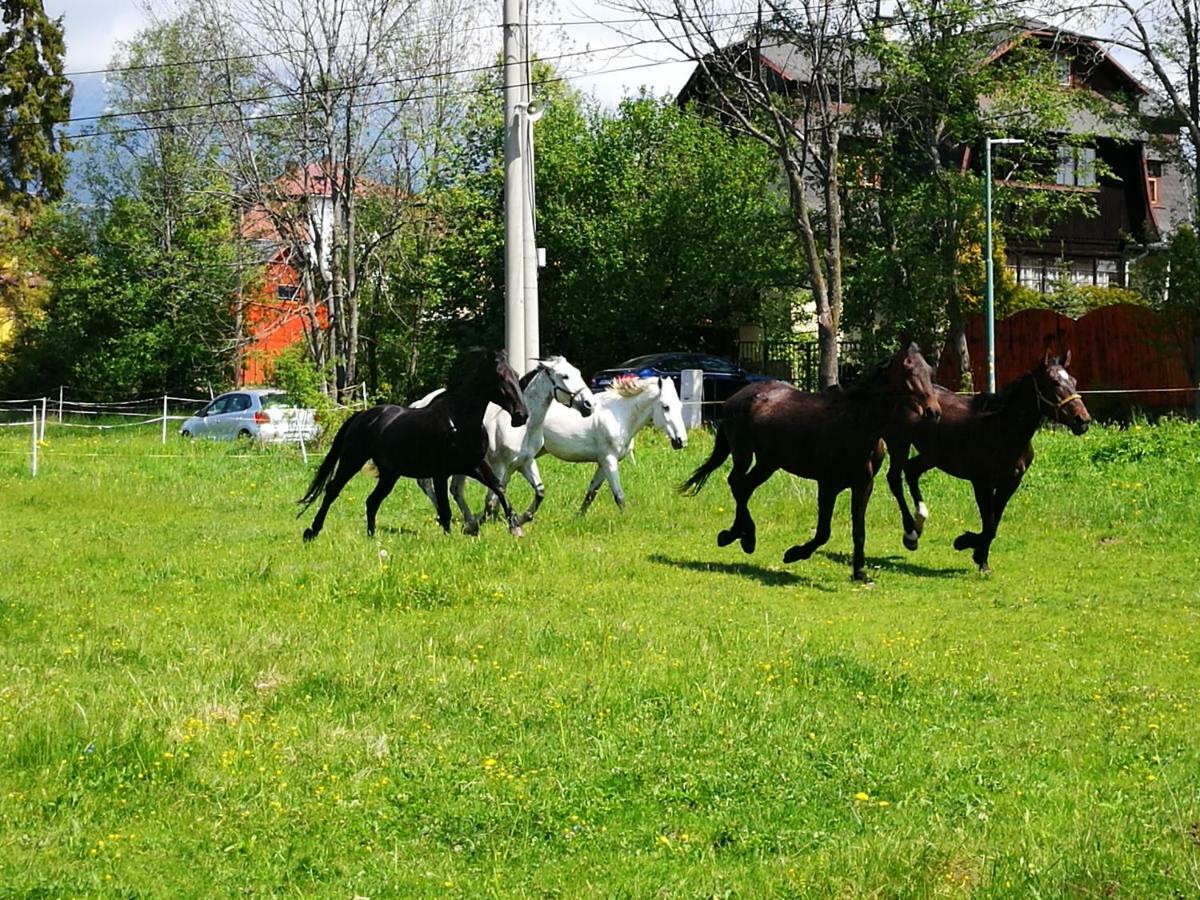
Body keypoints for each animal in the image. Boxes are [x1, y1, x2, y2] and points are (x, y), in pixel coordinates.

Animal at [297, 348, 528, 540]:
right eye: (500, 377)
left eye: (516, 376)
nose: (521, 415)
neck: (459, 422)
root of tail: (361, 416)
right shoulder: (440, 473)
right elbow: (445, 508)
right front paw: (449, 538)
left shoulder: (474, 465)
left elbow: (498, 487)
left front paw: (515, 528)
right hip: (352, 461)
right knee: (332, 490)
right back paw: (312, 532)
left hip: (389, 474)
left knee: (372, 500)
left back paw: (372, 536)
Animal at [415, 355, 597, 532]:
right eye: (564, 376)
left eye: (578, 373)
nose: (589, 405)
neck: (522, 427)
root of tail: (420, 403)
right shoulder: (499, 467)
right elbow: (492, 499)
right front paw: (493, 523)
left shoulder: (525, 463)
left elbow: (539, 492)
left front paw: (522, 519)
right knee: (431, 486)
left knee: (455, 490)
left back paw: (468, 521)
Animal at [540, 374, 691, 513]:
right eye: (666, 407)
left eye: (680, 405)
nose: (681, 441)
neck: (619, 416)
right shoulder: (609, 460)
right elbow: (619, 497)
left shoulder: (602, 464)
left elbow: (591, 494)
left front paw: (578, 518)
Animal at [681, 345, 940, 585]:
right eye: (908, 371)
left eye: (929, 371)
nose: (933, 412)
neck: (856, 423)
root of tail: (735, 398)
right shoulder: (827, 484)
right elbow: (824, 532)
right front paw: (794, 554)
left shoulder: (863, 485)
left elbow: (858, 531)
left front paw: (860, 573)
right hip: (744, 454)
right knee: (736, 483)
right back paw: (744, 537)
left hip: (768, 463)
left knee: (744, 488)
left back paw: (738, 536)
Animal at [883, 348, 1089, 573]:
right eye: (1054, 382)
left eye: (1074, 381)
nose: (1082, 420)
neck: (1002, 430)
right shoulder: (981, 482)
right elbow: (989, 525)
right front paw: (964, 543)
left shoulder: (1010, 483)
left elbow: (994, 522)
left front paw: (981, 559)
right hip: (899, 445)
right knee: (894, 479)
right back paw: (910, 535)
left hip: (932, 455)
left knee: (911, 471)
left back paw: (919, 523)